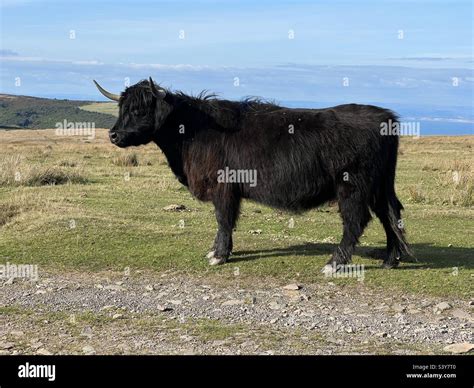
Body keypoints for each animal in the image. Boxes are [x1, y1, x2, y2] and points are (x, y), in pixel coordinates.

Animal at [93, 78, 412, 272]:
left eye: (139, 110)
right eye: (122, 108)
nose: (114, 135)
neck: (192, 132)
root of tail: (384, 117)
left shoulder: (223, 187)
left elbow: (223, 220)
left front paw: (219, 255)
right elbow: (226, 221)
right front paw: (217, 251)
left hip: (353, 187)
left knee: (357, 221)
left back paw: (334, 263)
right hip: (380, 185)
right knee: (390, 214)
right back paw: (390, 260)